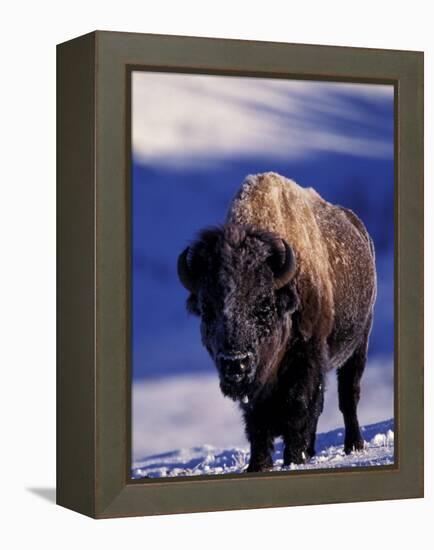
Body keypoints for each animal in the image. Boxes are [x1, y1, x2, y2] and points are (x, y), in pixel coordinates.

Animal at [176, 174, 376, 474]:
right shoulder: (257, 386)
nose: (235, 363)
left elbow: (298, 406)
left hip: (358, 345)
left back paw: (353, 445)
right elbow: (258, 421)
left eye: (264, 306)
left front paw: (294, 458)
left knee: (347, 395)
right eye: (207, 309)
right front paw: (258, 465)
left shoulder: (306, 359)